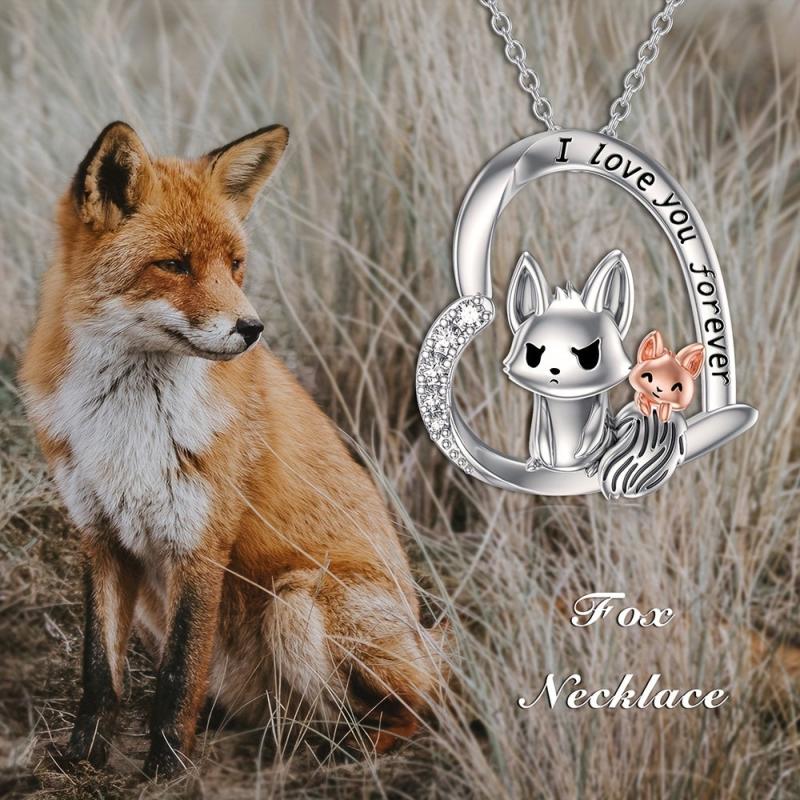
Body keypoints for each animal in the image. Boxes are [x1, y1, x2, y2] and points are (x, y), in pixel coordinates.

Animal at [18, 121, 440, 778]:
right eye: (173, 264)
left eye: (235, 265)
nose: (253, 329)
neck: (127, 426)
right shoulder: (100, 535)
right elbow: (99, 673)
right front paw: (82, 758)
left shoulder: (200, 540)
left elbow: (177, 674)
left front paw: (166, 769)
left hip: (298, 602)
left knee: (418, 711)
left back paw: (342, 752)